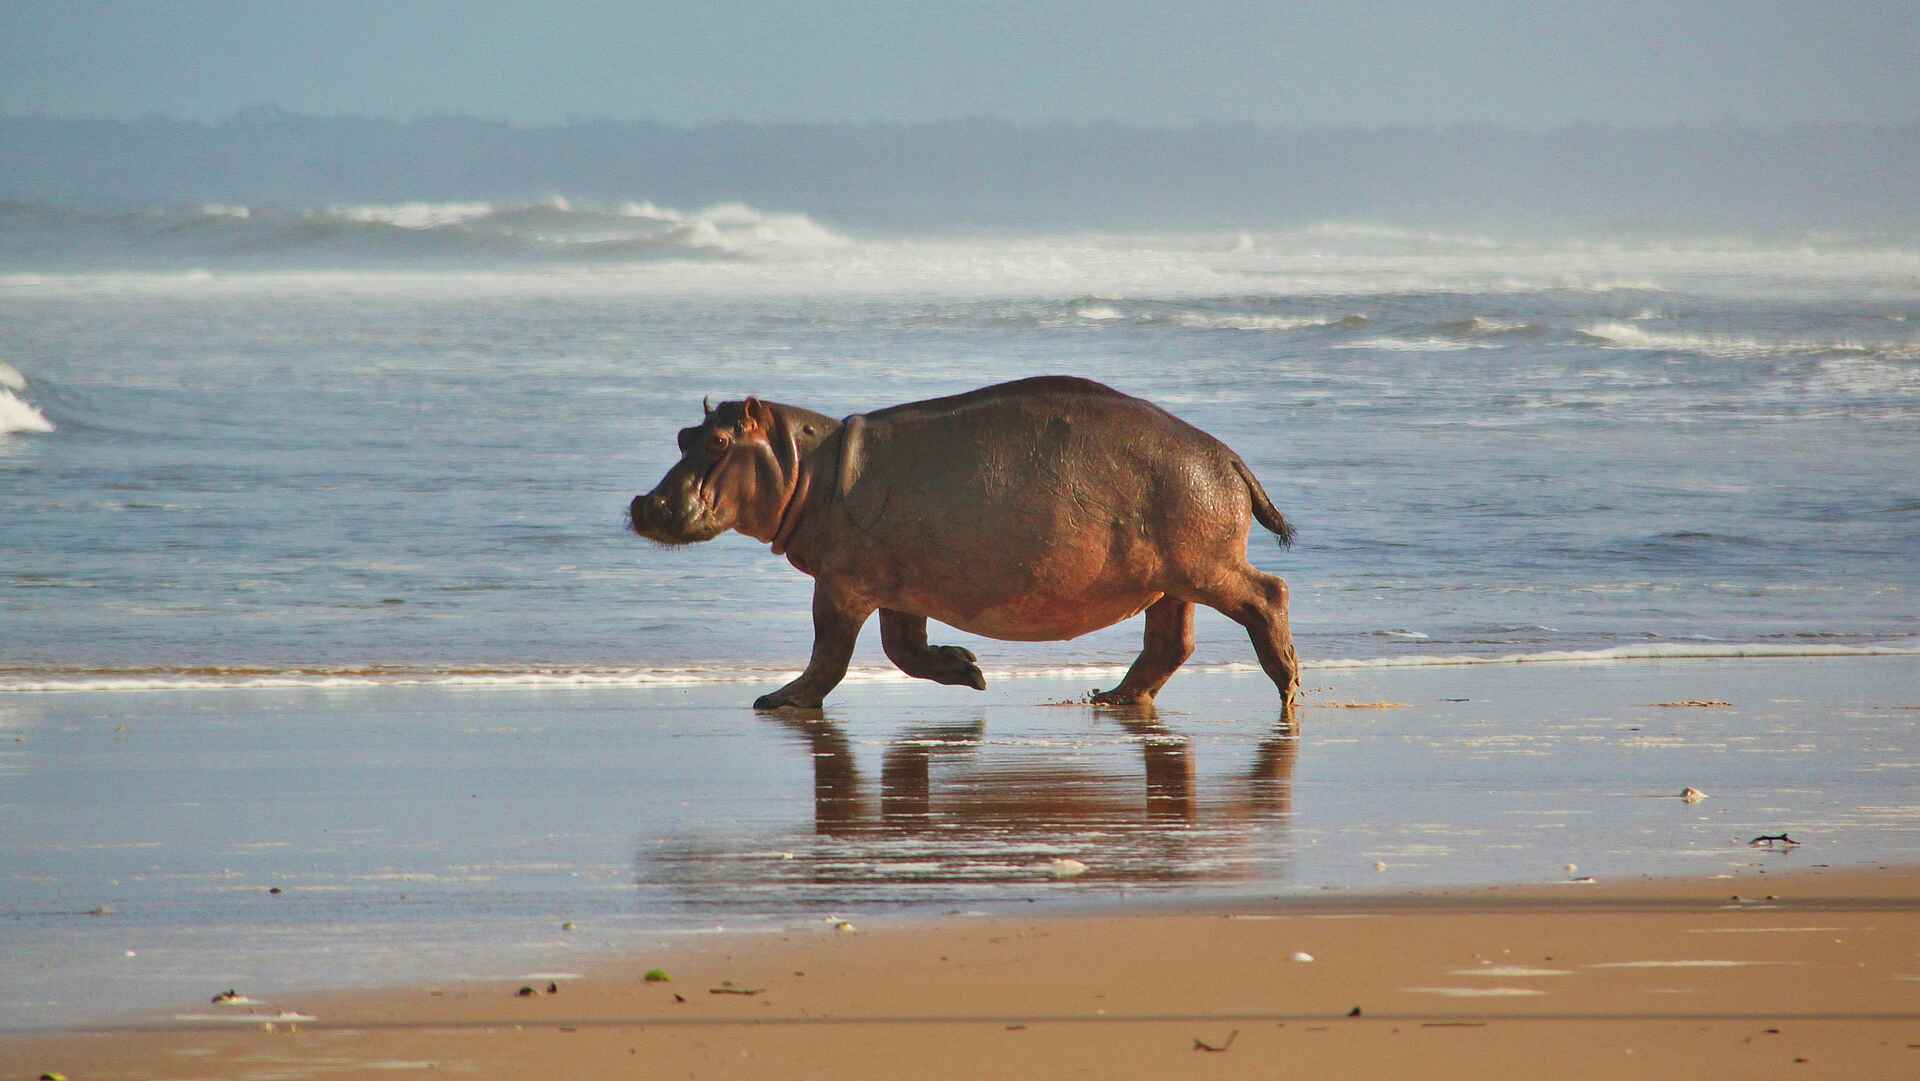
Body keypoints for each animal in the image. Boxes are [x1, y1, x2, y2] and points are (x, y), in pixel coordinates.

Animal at [629, 376, 1299, 711]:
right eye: (684, 433)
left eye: (719, 442)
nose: (645, 503)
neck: (805, 465)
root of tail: (1230, 457)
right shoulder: (898, 587)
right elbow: (902, 649)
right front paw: (969, 670)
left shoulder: (841, 584)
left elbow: (830, 653)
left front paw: (778, 701)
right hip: (1170, 579)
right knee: (1170, 643)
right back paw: (1110, 697)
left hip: (1205, 566)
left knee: (1268, 594)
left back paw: (1288, 688)